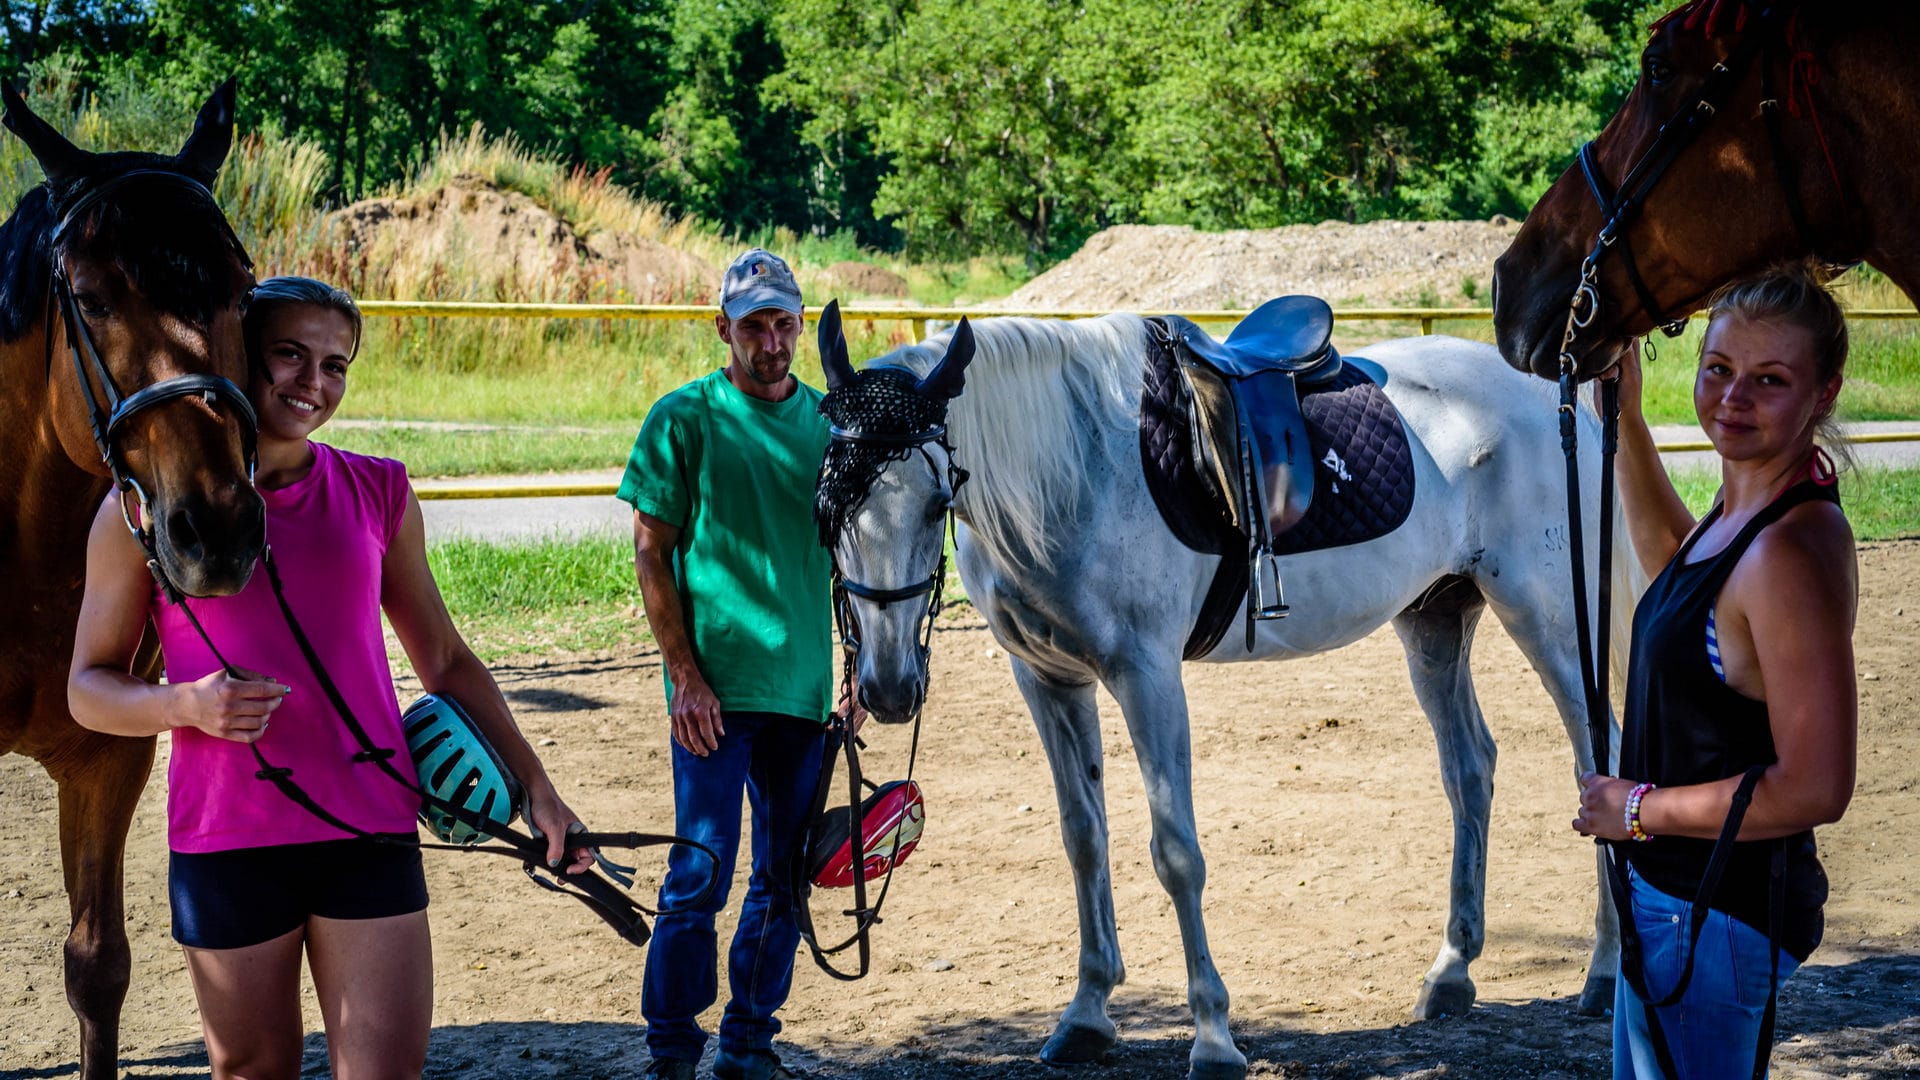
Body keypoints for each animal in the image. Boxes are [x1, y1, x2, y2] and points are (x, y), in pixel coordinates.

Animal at [812, 306, 1641, 1079]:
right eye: (828, 508)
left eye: (934, 499)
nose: (888, 687)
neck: (1072, 467)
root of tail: (1553, 394)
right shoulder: (1048, 679)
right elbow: (1084, 839)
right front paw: (1086, 1014)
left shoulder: (1147, 674)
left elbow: (1175, 852)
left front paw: (1212, 1038)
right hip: (1436, 619)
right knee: (1470, 770)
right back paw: (1452, 971)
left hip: (1552, 621)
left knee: (1595, 769)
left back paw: (1605, 974)